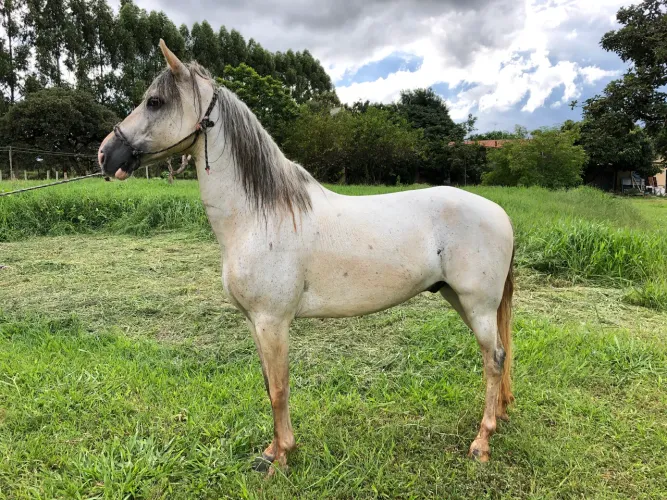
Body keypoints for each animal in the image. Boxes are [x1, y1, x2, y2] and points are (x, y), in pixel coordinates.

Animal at [98, 40, 515, 473]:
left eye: (155, 101)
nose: (105, 155)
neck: (260, 216)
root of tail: (499, 213)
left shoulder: (273, 321)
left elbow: (280, 388)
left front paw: (282, 456)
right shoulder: (255, 322)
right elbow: (268, 385)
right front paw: (271, 451)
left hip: (478, 305)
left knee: (494, 359)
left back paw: (482, 442)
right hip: (458, 299)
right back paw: (499, 418)